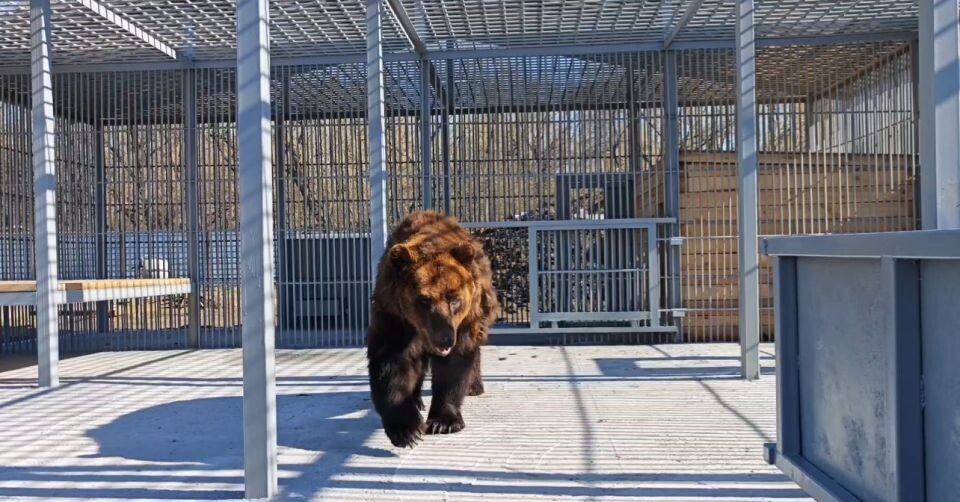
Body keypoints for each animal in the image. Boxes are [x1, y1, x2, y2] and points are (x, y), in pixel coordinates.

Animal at [366, 210, 499, 448]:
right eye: (423, 300)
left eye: (454, 298)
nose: (444, 338)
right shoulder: (395, 316)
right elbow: (392, 361)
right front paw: (407, 430)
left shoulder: (463, 322)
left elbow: (454, 365)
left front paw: (442, 421)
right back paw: (417, 399)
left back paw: (475, 386)